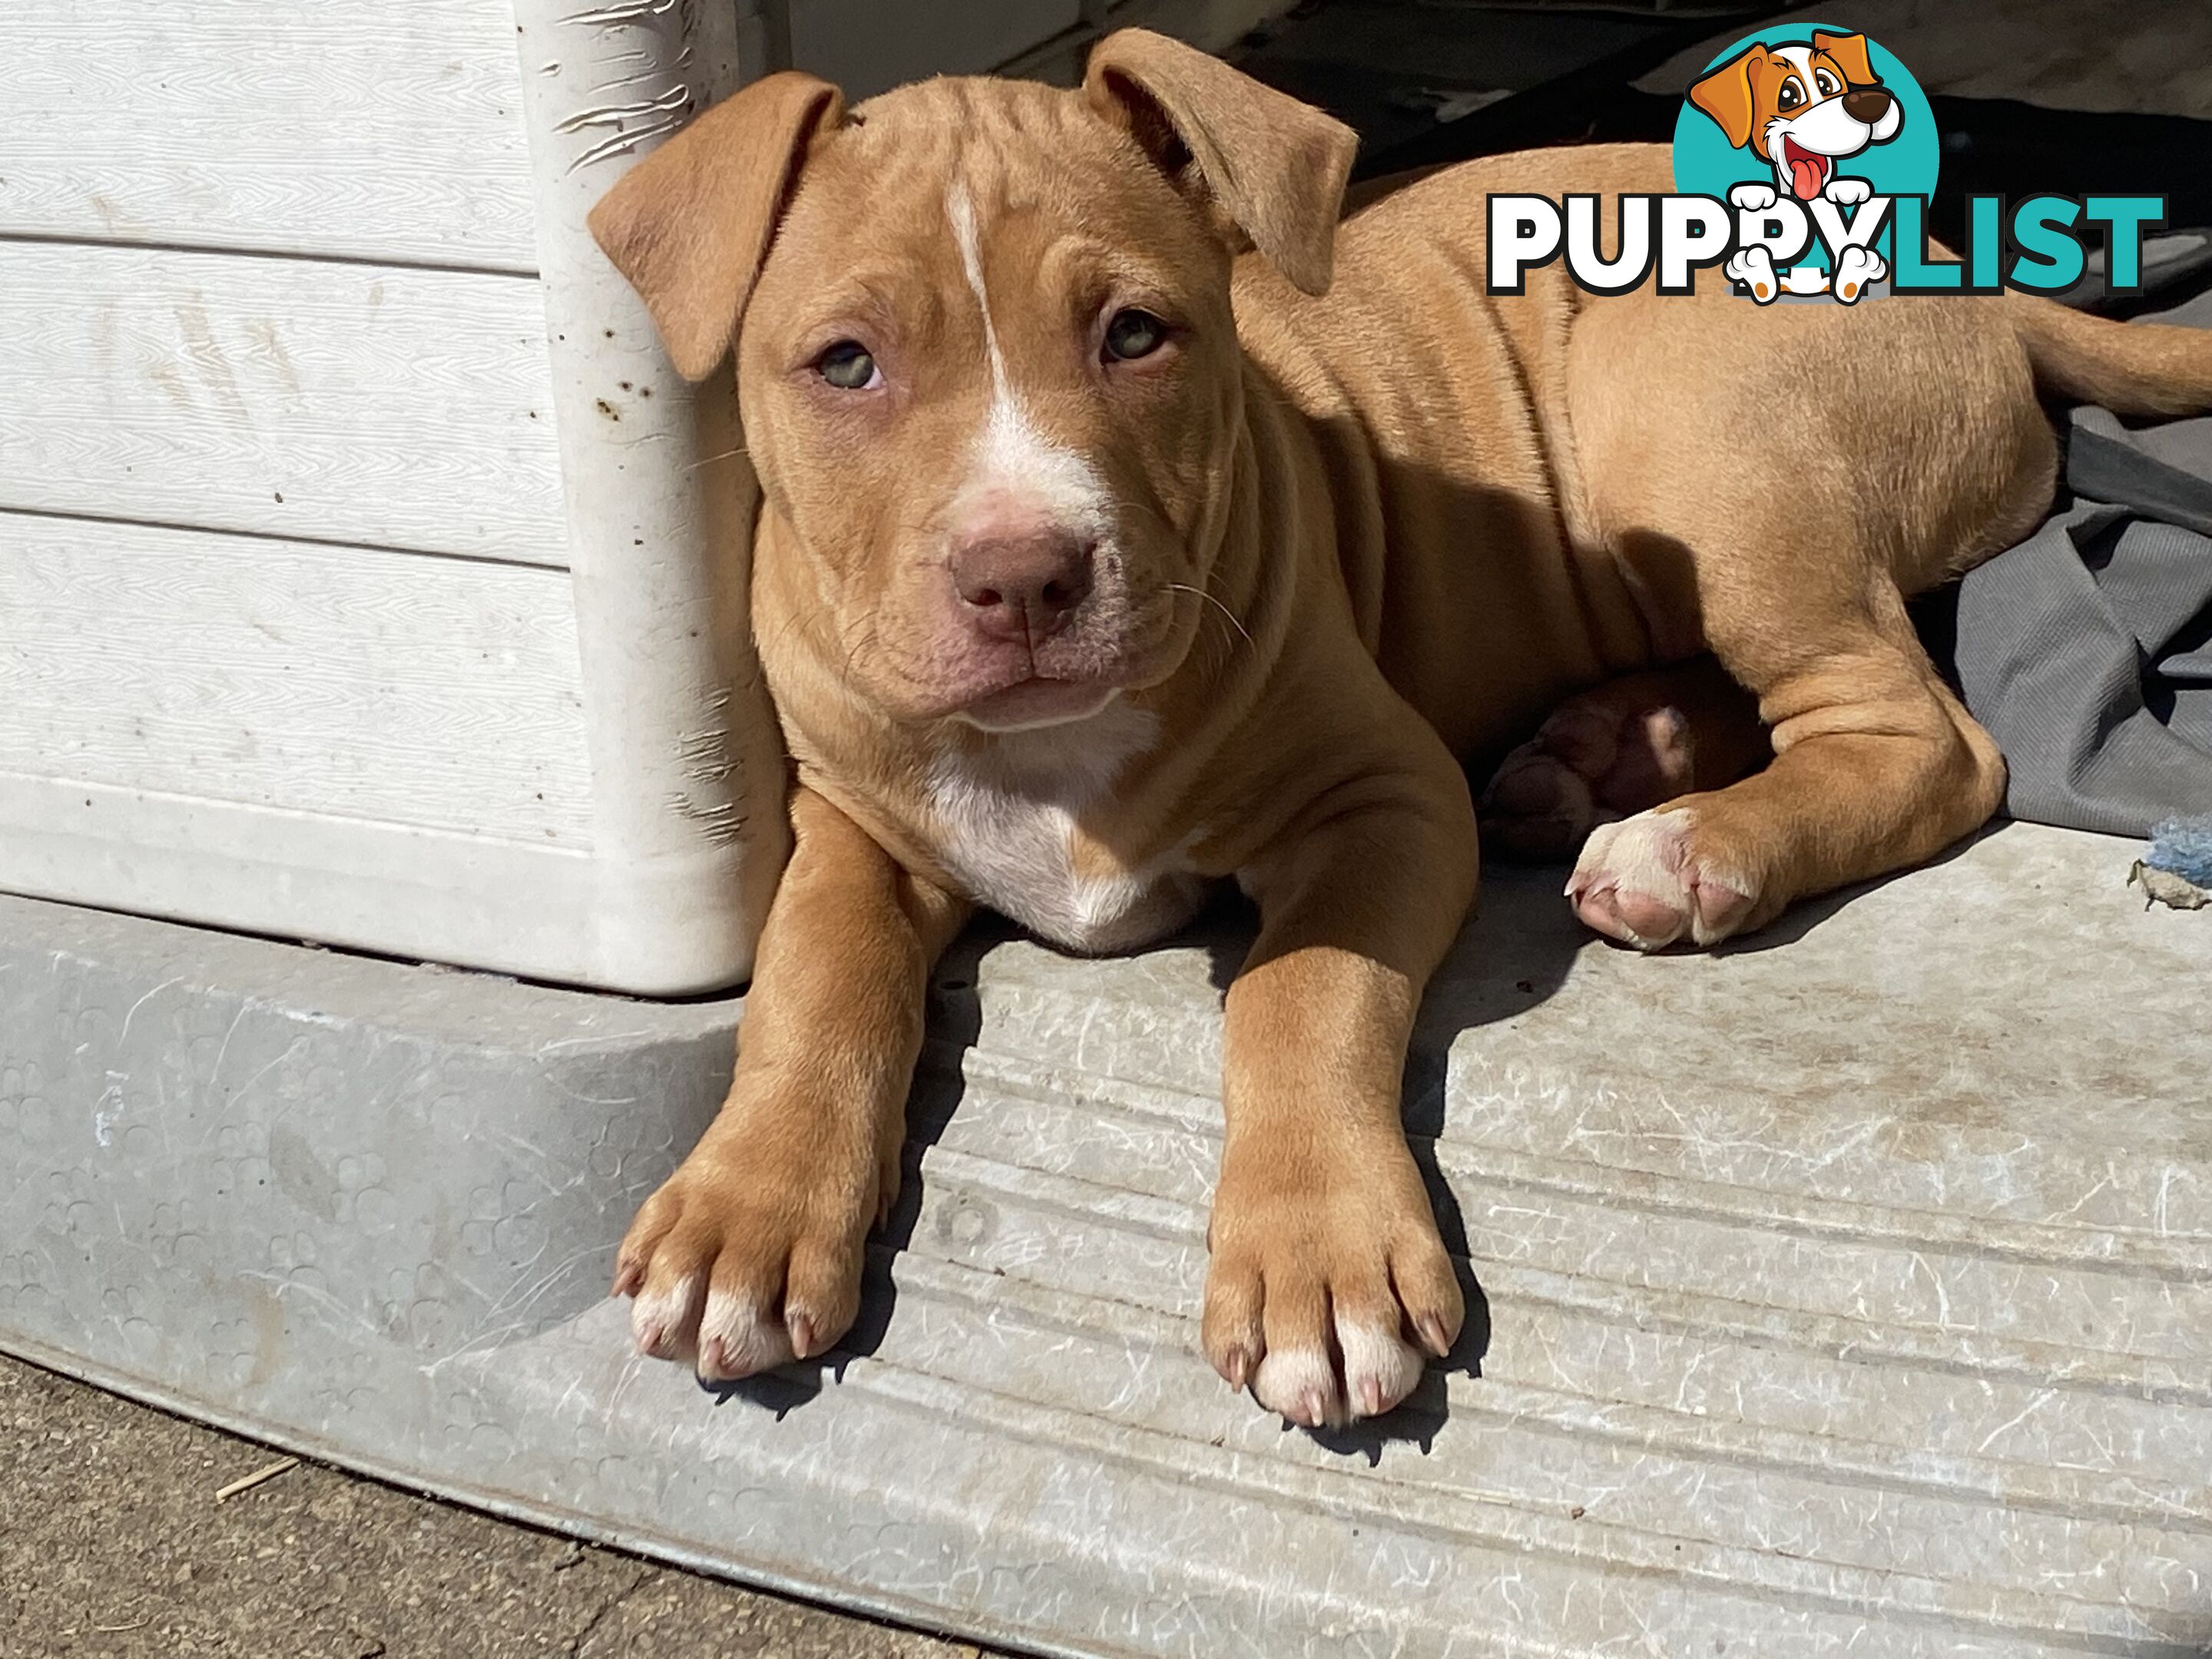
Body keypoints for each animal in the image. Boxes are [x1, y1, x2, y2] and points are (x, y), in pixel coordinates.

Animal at [584, 29, 2212, 1433]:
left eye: (1135, 336)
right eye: (845, 364)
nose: (1025, 575)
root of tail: (1961, 265)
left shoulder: (1382, 797)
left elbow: (1297, 991)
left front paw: (1316, 1265)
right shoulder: (852, 821)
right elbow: (819, 979)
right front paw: (745, 1216)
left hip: (1694, 426)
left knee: (1928, 740)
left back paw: (1690, 844)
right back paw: (1607, 756)